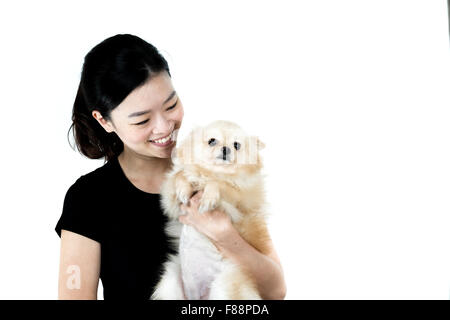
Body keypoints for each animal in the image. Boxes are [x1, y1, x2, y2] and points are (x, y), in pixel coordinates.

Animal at [150, 120, 270, 300]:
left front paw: (209, 196)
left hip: (224, 284)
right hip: (170, 282)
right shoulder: (173, 205)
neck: (212, 172)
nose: (226, 149)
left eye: (236, 145)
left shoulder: (236, 203)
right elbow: (180, 175)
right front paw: (184, 188)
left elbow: (219, 184)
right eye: (212, 141)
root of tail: (197, 296)